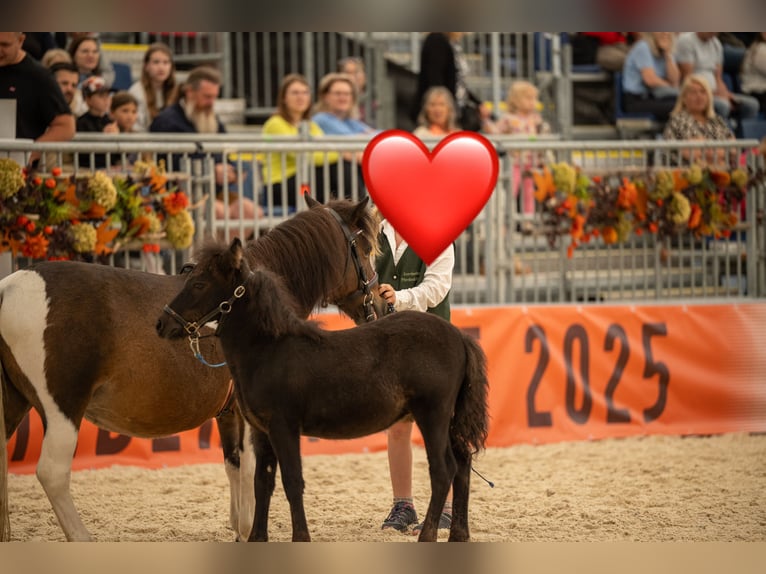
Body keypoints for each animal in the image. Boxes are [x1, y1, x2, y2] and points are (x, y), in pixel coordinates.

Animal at [0, 195, 387, 542]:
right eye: (367, 248)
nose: (381, 304)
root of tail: (10, 287)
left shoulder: (229, 413)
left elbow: (234, 466)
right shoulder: (254, 415)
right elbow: (253, 473)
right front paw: (250, 529)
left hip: (14, 402)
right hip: (62, 408)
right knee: (52, 472)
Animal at [157, 238, 490, 542]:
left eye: (199, 284)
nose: (161, 324)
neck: (269, 348)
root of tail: (459, 337)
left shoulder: (284, 427)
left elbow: (292, 481)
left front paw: (301, 537)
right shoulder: (262, 431)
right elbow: (263, 483)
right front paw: (257, 538)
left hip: (433, 415)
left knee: (443, 470)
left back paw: (428, 535)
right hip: (448, 420)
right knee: (462, 465)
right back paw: (459, 534)